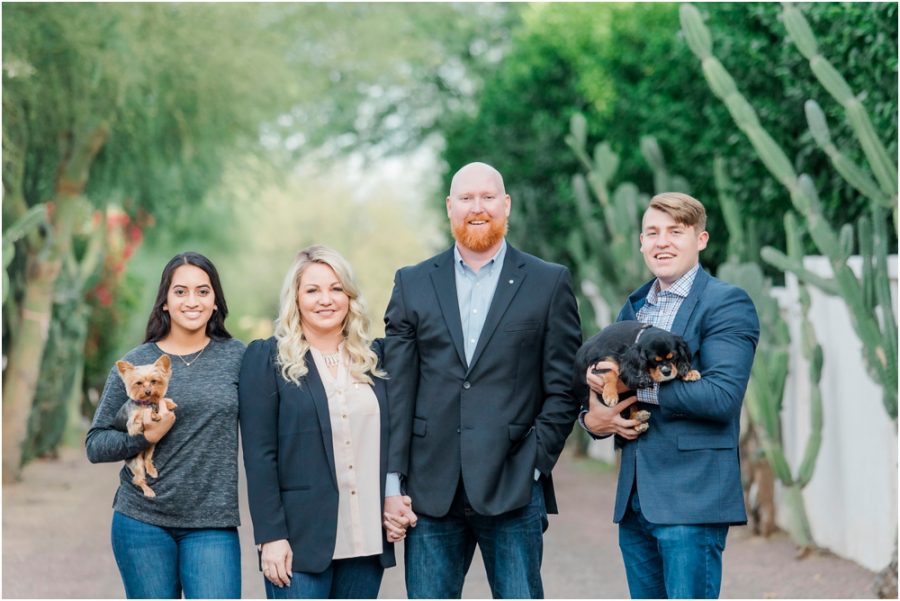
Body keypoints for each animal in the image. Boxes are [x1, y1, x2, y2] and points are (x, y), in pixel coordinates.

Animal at [114, 354, 178, 494]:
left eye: (154, 381)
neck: (146, 403)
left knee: (147, 459)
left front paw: (169, 403)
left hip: (151, 443)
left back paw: (152, 470)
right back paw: (148, 492)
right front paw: (153, 414)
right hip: (136, 461)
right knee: (138, 479)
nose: (148, 391)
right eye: (139, 383)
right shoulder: (132, 426)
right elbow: (142, 415)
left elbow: (159, 400)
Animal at [576, 322, 704, 428]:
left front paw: (689, 372)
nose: (666, 372)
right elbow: (610, 371)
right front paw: (610, 395)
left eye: (673, 357)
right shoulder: (597, 365)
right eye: (653, 361)